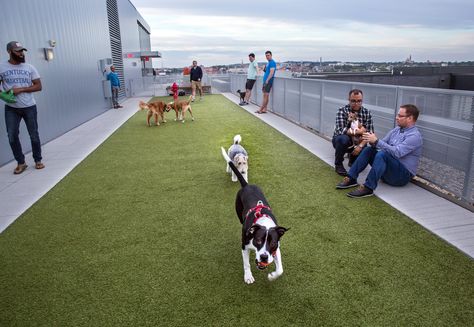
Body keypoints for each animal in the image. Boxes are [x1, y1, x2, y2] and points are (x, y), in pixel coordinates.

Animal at [220, 148, 286, 284]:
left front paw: (272, 276)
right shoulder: (244, 246)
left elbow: (280, 269)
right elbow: (246, 264)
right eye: (259, 240)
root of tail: (246, 185)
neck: (263, 222)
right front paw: (248, 276)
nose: (264, 257)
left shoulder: (276, 249)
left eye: (272, 243)